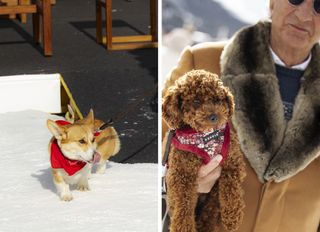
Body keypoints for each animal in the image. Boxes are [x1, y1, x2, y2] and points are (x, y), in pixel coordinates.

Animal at [164, 70, 246, 232]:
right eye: (196, 101)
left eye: (217, 99)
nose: (214, 116)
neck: (206, 136)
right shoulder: (182, 173)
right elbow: (184, 204)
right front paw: (184, 227)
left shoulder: (232, 162)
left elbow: (231, 190)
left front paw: (232, 217)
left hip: (212, 198)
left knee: (209, 214)